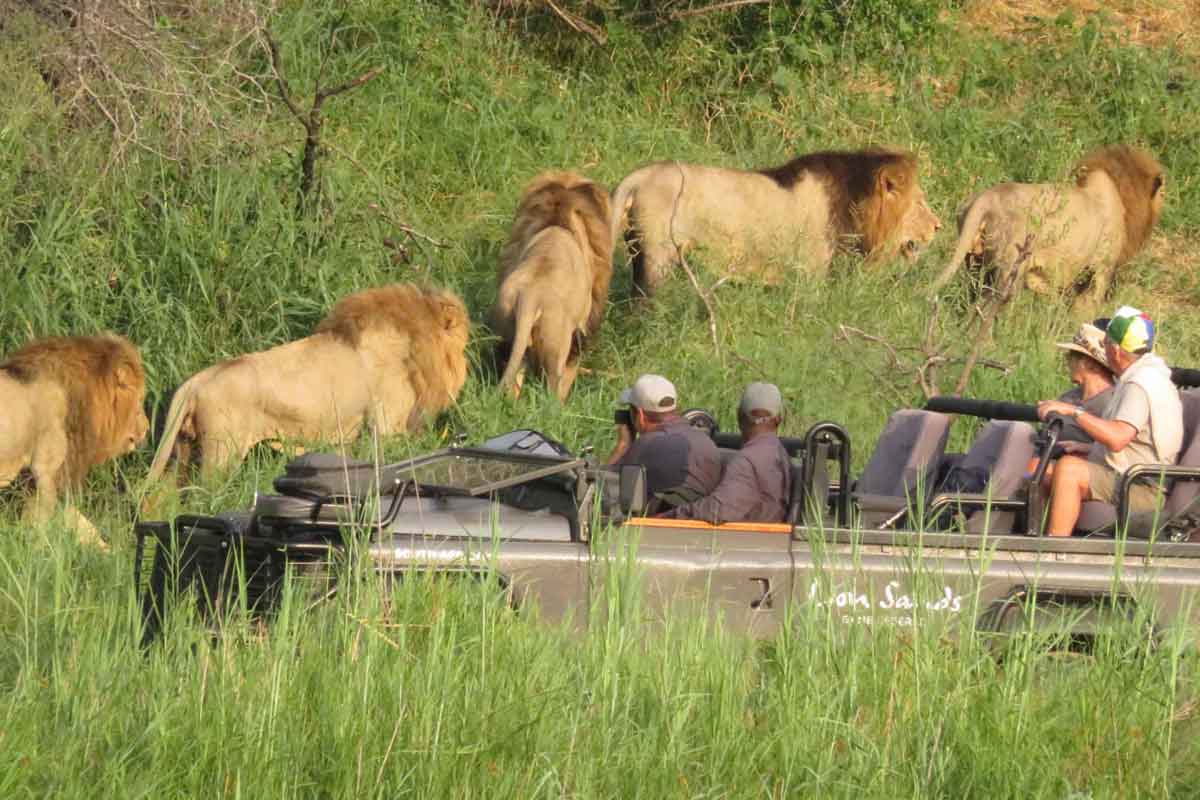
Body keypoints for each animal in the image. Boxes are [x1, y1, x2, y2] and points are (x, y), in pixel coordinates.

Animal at [0, 333, 148, 551]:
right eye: (140, 400)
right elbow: (41, 524)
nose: (147, 428)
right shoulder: (47, 472)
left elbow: (80, 523)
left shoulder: (31, 480)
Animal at [145, 284, 468, 484]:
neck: (413, 344)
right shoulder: (387, 426)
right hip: (221, 453)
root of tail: (195, 381)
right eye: (463, 346)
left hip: (183, 450)